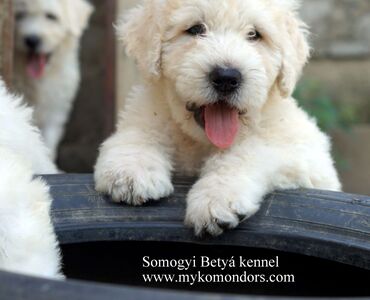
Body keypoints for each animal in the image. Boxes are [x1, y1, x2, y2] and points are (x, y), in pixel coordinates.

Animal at [95, 0, 342, 237]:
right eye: (196, 29)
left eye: (254, 34)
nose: (226, 77)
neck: (200, 142)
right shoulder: (148, 114)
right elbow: (138, 135)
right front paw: (129, 174)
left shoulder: (303, 156)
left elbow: (244, 154)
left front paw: (215, 202)